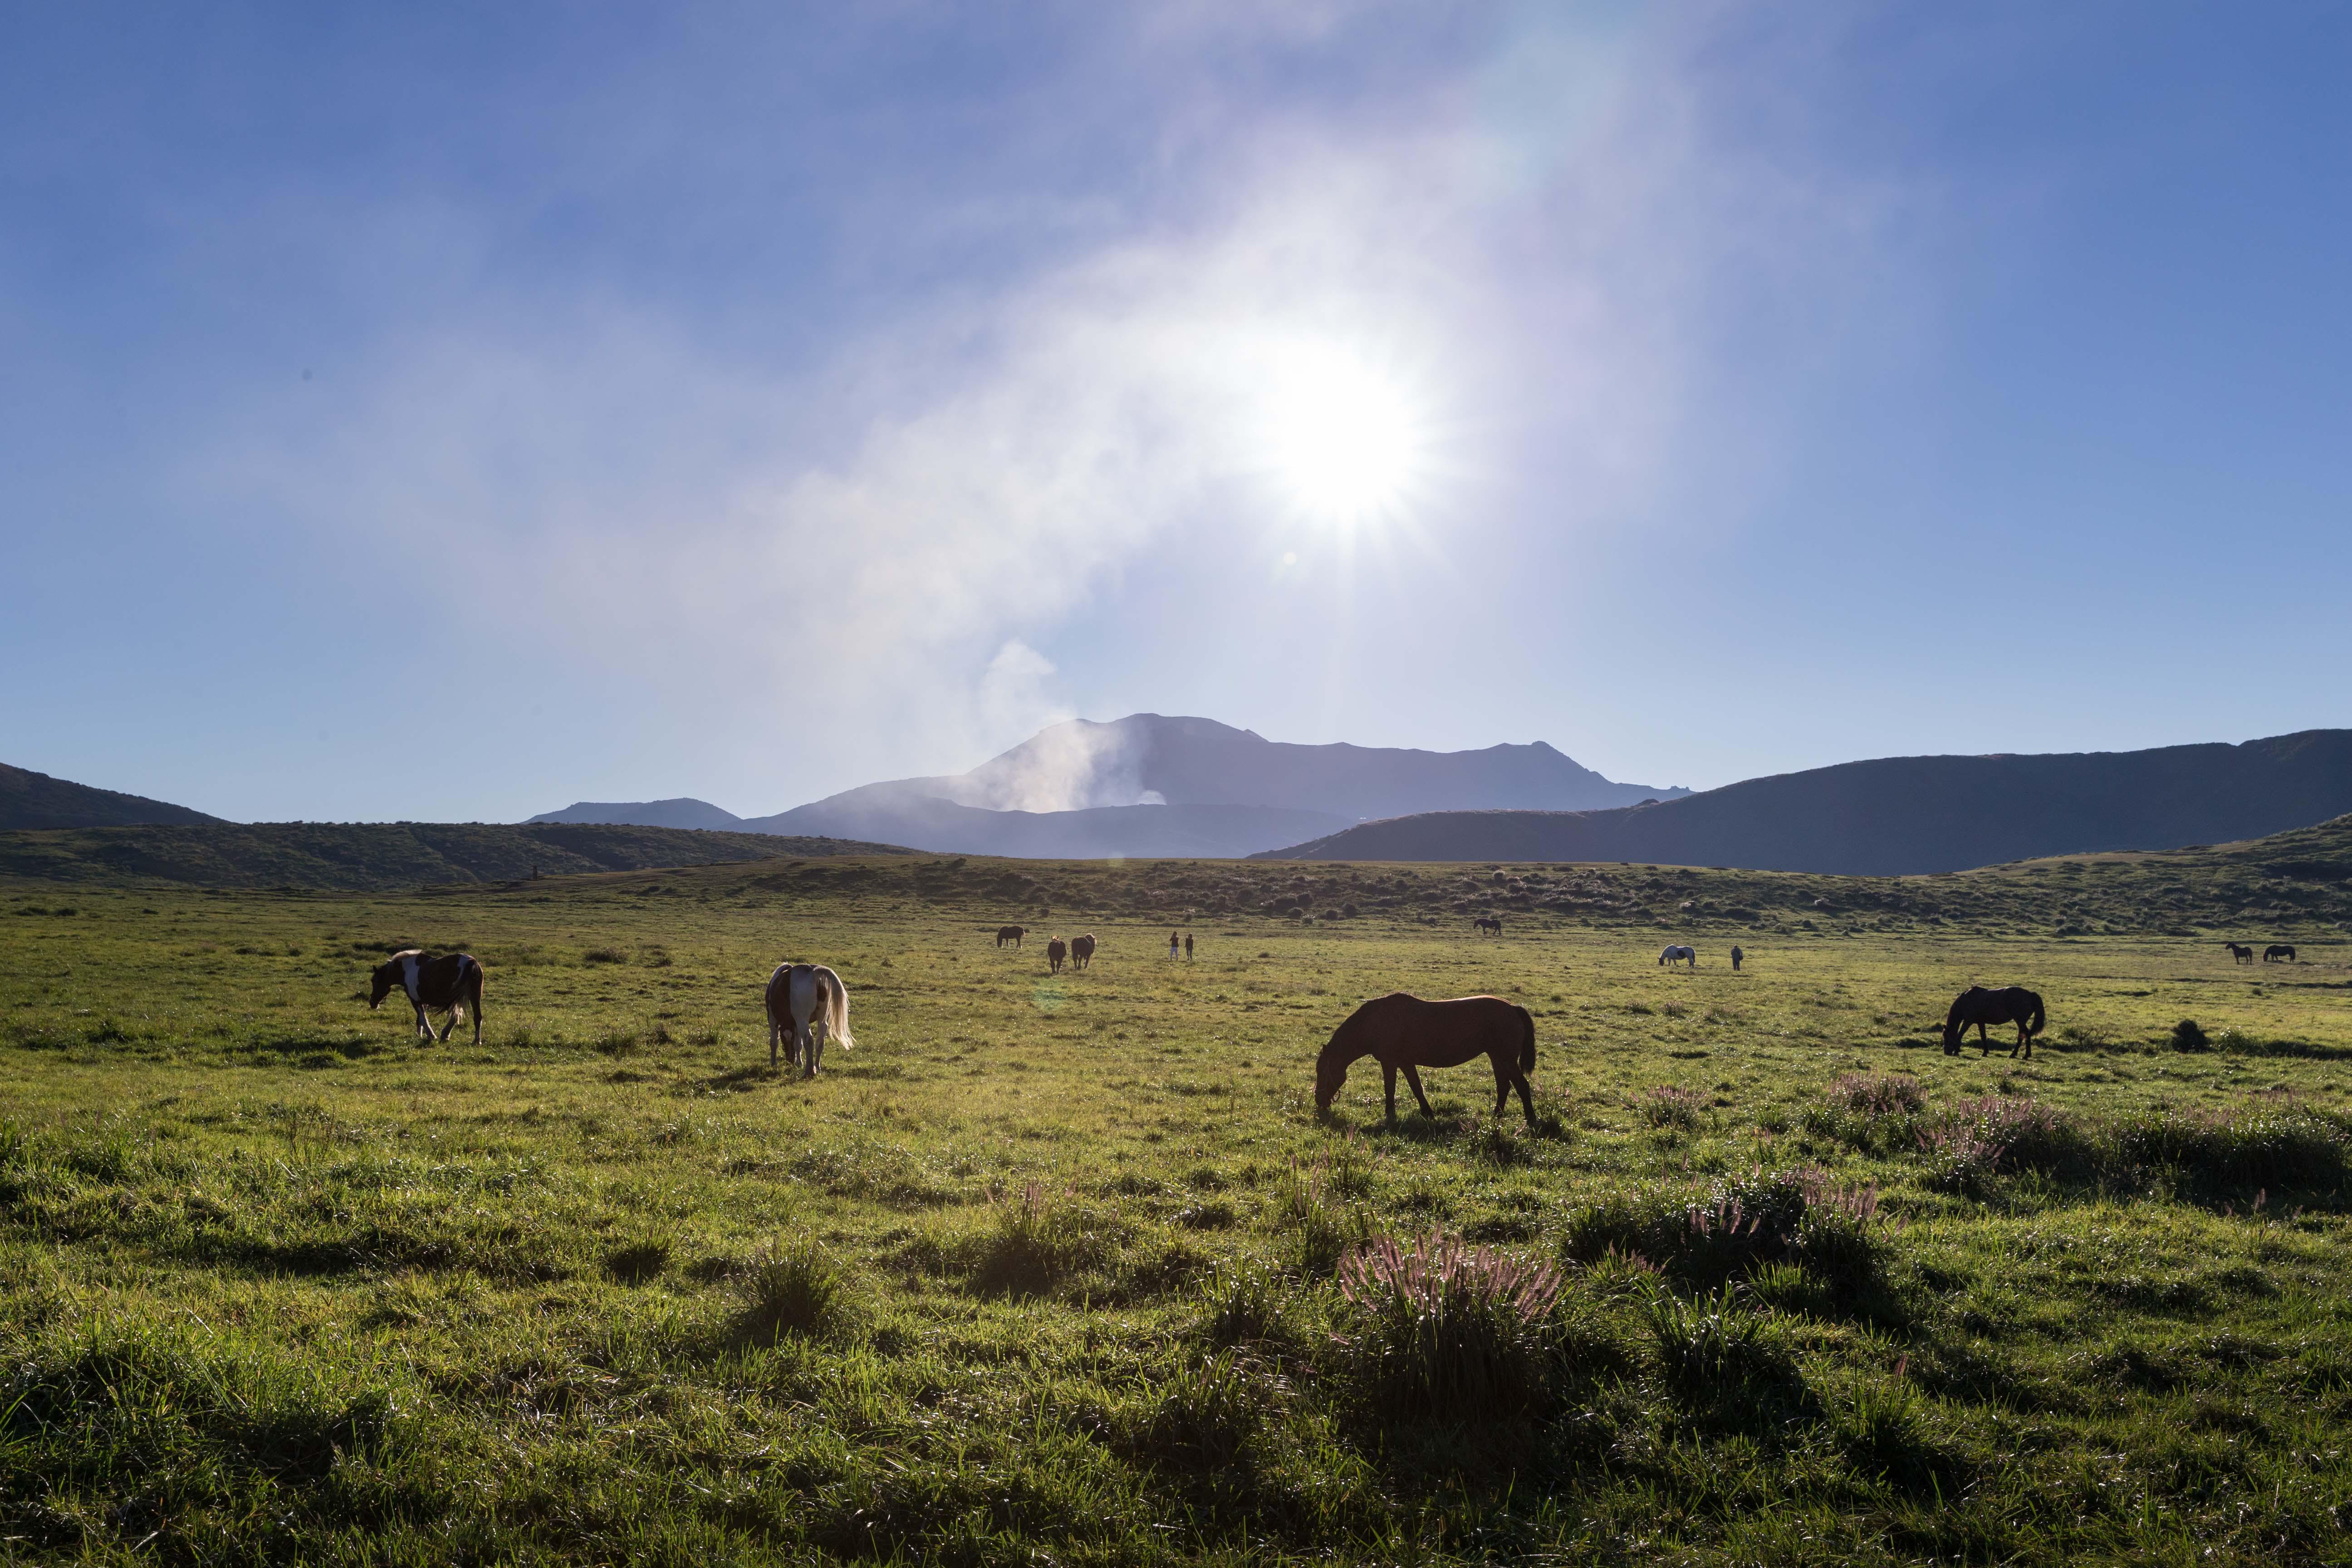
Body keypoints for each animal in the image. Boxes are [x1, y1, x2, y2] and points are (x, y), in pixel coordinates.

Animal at [369, 950, 484, 1048]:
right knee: (476, 1017)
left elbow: (422, 1018)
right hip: (474, 996)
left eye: (374, 980)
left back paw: (446, 1035)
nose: (372, 1003)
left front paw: (430, 1036)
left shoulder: (415, 1001)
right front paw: (420, 1035)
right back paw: (475, 1041)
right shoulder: (420, 1001)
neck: (406, 969)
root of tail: (471, 962)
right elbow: (420, 1019)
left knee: (456, 1016)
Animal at [762, 959, 856, 1081]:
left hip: (802, 1020)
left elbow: (774, 1042)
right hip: (821, 1020)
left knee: (809, 1041)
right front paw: (799, 1063)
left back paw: (809, 1072)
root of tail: (813, 972)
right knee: (820, 1042)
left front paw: (773, 1063)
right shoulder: (796, 1025)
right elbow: (798, 1044)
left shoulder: (773, 1020)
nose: (790, 1059)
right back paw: (817, 1068)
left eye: (784, 1040)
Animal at [1308, 992, 1543, 1128]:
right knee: (1504, 1087)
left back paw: (1530, 1119)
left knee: (1521, 1086)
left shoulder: (1390, 1062)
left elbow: (1390, 1089)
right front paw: (1428, 1114)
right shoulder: (1405, 1063)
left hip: (1505, 1059)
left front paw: (1390, 1116)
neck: (1375, 1022)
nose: (1319, 1101)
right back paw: (1496, 1118)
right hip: (1498, 1058)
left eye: (1323, 1071)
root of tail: (1513, 1008)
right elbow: (1417, 1088)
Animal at [1938, 987, 2051, 1062]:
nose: (1946, 1052)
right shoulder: (1981, 1022)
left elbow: (1960, 1035)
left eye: (1946, 1037)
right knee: (2022, 1035)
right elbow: (1983, 1037)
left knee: (2025, 1034)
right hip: (2021, 1021)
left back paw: (2023, 1055)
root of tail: (2030, 995)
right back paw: (2016, 1054)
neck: (1967, 1001)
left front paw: (1956, 1051)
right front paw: (1985, 1053)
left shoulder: (1968, 1021)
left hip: (2020, 1020)